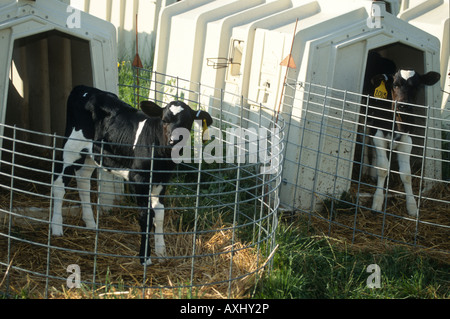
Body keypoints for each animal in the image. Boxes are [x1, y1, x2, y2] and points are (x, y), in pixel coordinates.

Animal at [51, 85, 214, 264]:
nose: (174, 140)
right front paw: (145, 257)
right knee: (59, 184)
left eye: (186, 122)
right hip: (71, 146)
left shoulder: (162, 180)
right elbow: (145, 216)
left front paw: (161, 252)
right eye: (164, 120)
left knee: (83, 179)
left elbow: (160, 214)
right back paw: (56, 227)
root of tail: (83, 88)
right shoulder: (139, 179)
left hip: (92, 153)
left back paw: (90, 223)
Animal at [364, 54, 442, 218]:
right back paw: (366, 168)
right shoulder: (378, 134)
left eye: (416, 86)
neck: (398, 122)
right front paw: (377, 201)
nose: (403, 105)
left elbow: (406, 174)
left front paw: (412, 206)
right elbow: (383, 168)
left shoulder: (407, 140)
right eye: (395, 85)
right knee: (365, 136)